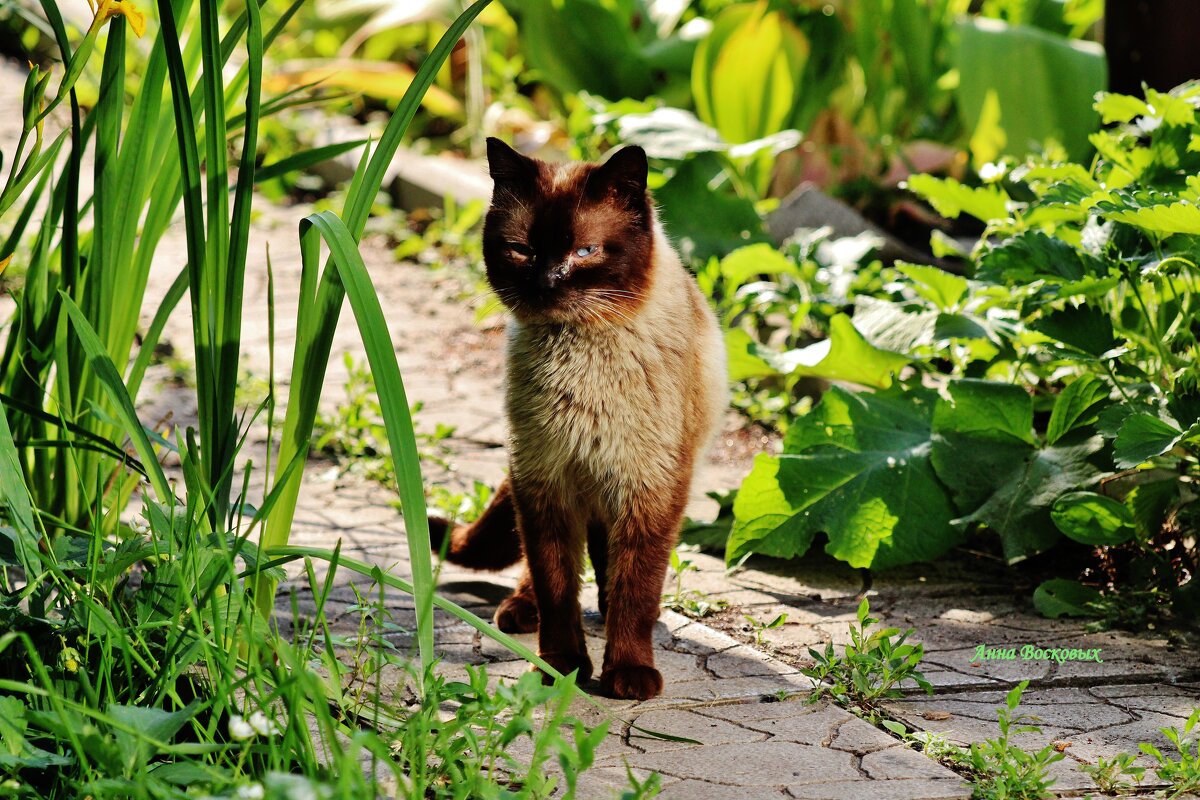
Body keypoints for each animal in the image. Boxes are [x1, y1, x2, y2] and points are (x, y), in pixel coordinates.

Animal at [434, 139, 729, 700]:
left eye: (585, 253)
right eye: (523, 250)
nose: (547, 282)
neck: (578, 363)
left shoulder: (646, 492)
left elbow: (636, 590)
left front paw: (628, 675)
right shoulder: (544, 484)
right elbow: (557, 589)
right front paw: (561, 668)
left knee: (613, 573)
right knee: (543, 570)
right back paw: (519, 611)